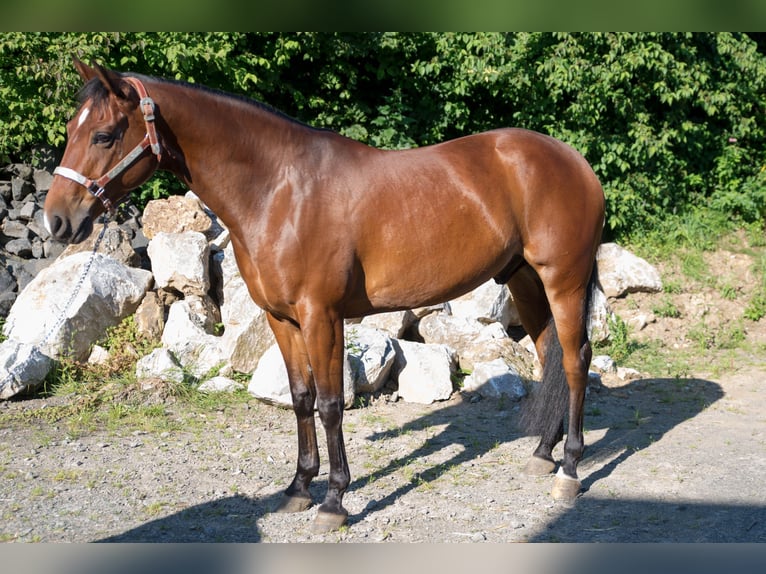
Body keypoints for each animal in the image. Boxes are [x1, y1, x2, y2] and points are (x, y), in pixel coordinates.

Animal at [43, 59, 608, 536]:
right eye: (70, 131)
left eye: (104, 135)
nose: (57, 221)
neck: (280, 190)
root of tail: (573, 160)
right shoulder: (282, 319)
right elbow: (301, 399)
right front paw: (298, 488)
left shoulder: (322, 316)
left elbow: (333, 404)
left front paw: (335, 500)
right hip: (524, 280)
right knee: (549, 355)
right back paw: (542, 454)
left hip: (563, 280)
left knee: (575, 360)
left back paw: (570, 469)